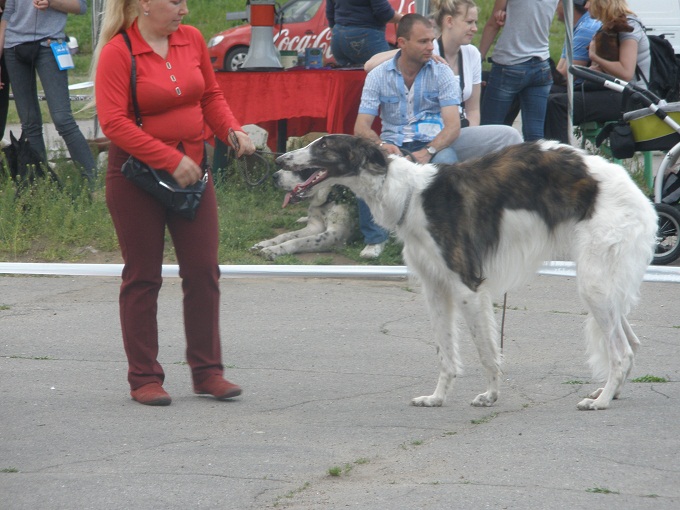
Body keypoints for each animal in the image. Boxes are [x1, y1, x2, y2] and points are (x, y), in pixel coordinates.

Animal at [275, 135, 658, 411]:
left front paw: (491, 396)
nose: (278, 164)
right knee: (634, 343)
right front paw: (436, 398)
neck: (411, 196)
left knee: (622, 351)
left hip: (593, 282)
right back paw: (608, 392)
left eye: (323, 145)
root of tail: (639, 193)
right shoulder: (434, 288)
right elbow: (446, 353)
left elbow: (487, 353)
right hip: (604, 283)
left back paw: (602, 401)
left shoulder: (467, 286)